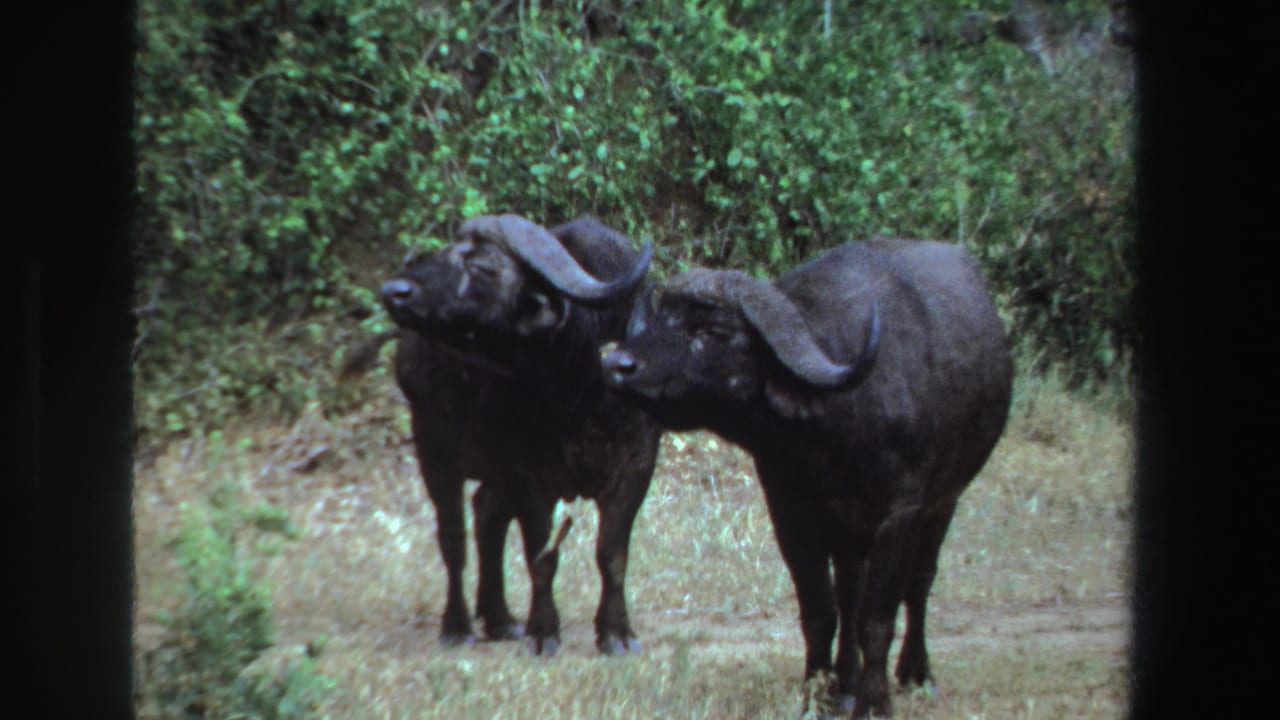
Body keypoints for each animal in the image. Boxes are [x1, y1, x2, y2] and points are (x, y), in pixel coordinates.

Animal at [375, 214, 662, 655]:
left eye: (482, 265)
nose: (395, 291)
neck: (585, 386)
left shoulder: (637, 467)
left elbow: (612, 554)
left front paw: (616, 633)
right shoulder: (531, 474)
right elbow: (541, 554)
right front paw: (544, 630)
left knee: (487, 515)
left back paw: (499, 618)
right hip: (432, 446)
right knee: (454, 537)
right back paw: (457, 625)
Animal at [602, 238, 1012, 717]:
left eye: (711, 331)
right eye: (659, 319)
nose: (618, 364)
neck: (831, 429)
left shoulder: (900, 515)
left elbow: (878, 618)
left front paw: (875, 702)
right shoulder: (791, 515)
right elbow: (821, 613)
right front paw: (817, 695)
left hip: (944, 502)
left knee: (920, 582)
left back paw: (915, 672)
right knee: (850, 594)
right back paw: (847, 684)